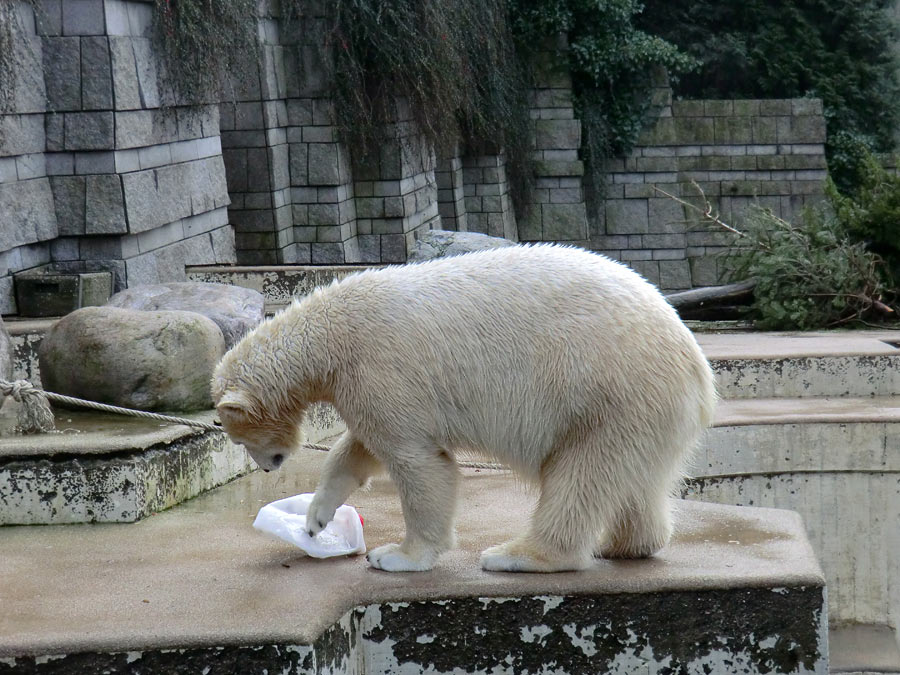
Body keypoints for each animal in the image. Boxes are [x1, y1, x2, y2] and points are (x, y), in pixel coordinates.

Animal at [213, 246, 716, 572]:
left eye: (238, 437)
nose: (267, 467)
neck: (331, 332)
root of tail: (698, 368)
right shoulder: (364, 384)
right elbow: (358, 448)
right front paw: (316, 519)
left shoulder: (380, 367)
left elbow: (416, 460)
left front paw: (396, 555)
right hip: (643, 409)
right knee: (635, 478)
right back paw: (627, 545)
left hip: (607, 390)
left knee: (582, 474)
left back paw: (516, 555)